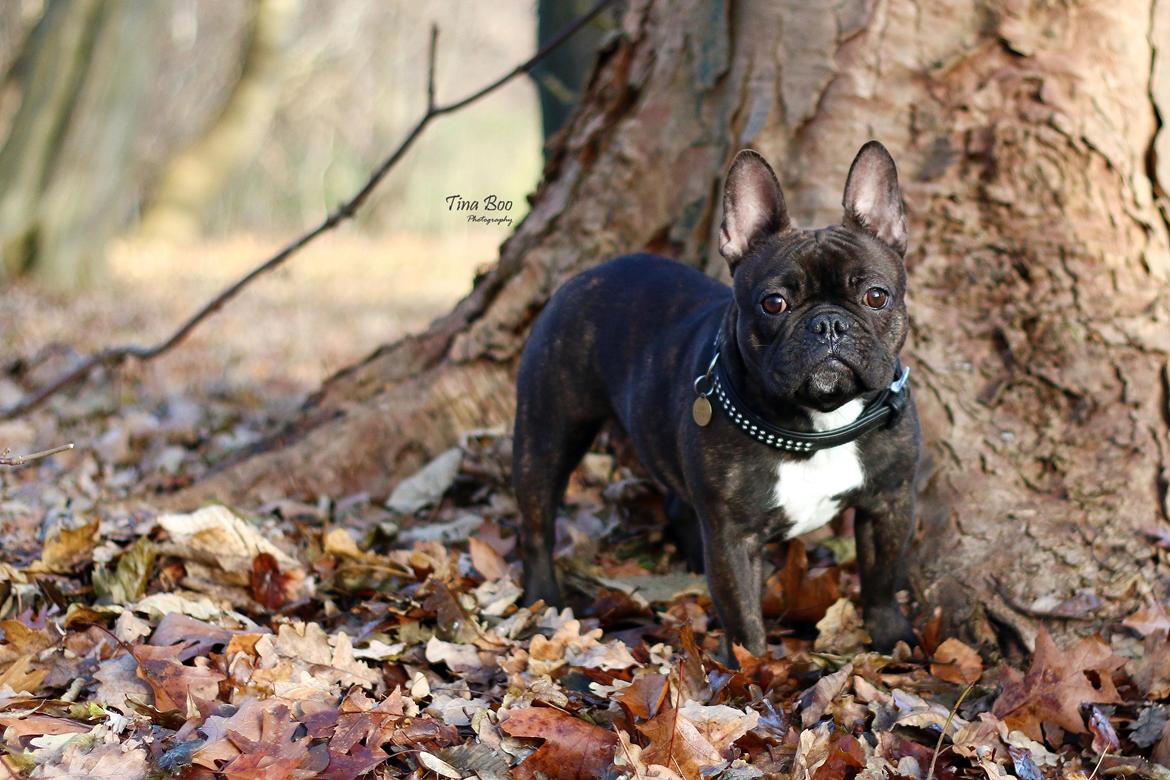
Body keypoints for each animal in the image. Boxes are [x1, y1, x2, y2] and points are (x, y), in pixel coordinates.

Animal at [512, 142, 921, 659]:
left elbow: (881, 579)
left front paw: (892, 638)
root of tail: (588, 274)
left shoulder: (889, 502)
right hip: (547, 435)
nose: (828, 324)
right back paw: (543, 596)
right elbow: (743, 616)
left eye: (876, 296)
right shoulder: (733, 536)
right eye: (773, 303)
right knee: (536, 523)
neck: (819, 426)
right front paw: (753, 671)